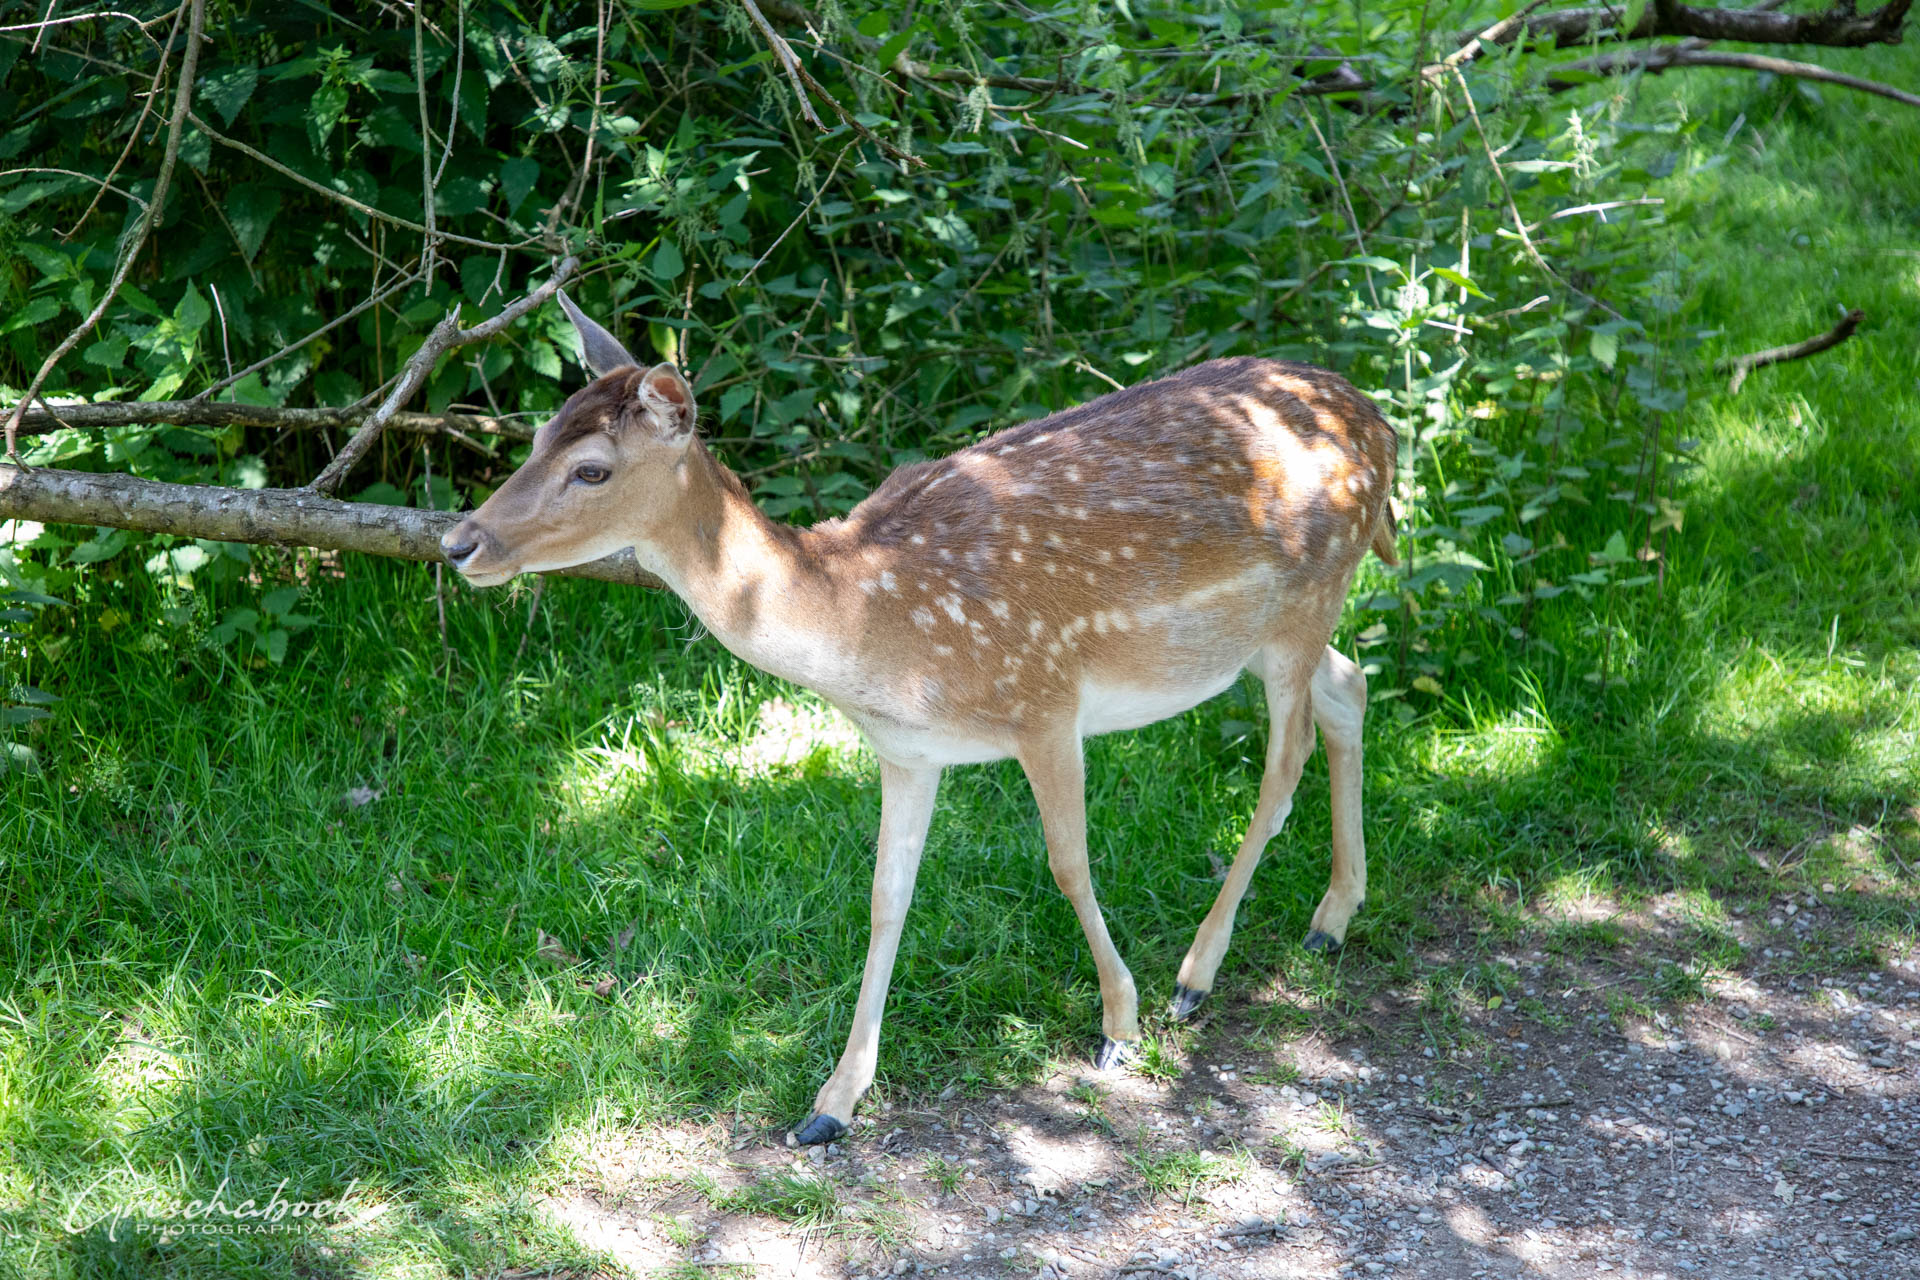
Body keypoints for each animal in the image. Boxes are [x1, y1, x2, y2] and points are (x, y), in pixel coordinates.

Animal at [443, 295, 1405, 1143]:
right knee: (1350, 686)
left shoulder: (1045, 700)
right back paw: (1331, 919)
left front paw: (1119, 1026)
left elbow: (1069, 865)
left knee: (1285, 761)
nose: (459, 543)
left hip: (1308, 595)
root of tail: (1381, 426)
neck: (877, 625)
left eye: (592, 469)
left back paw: (1196, 977)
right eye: (537, 435)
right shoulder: (908, 752)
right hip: (1280, 630)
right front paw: (832, 1102)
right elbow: (884, 898)